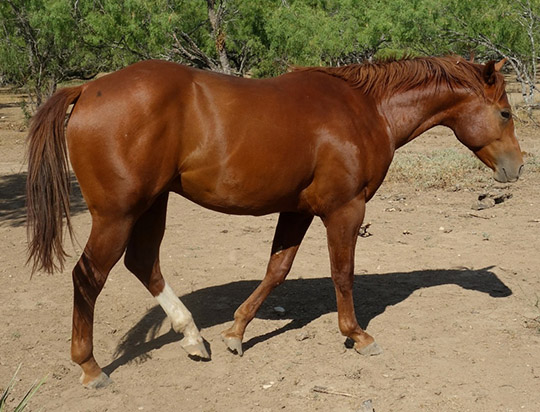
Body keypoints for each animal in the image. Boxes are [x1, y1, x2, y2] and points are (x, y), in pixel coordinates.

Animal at [26, 56, 524, 388]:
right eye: (505, 112)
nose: (517, 168)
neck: (366, 109)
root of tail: (88, 90)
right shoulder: (345, 209)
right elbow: (342, 273)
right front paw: (357, 335)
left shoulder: (298, 210)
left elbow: (277, 270)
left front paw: (235, 333)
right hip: (118, 214)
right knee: (88, 276)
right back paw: (91, 367)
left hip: (151, 205)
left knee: (143, 264)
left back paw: (193, 338)